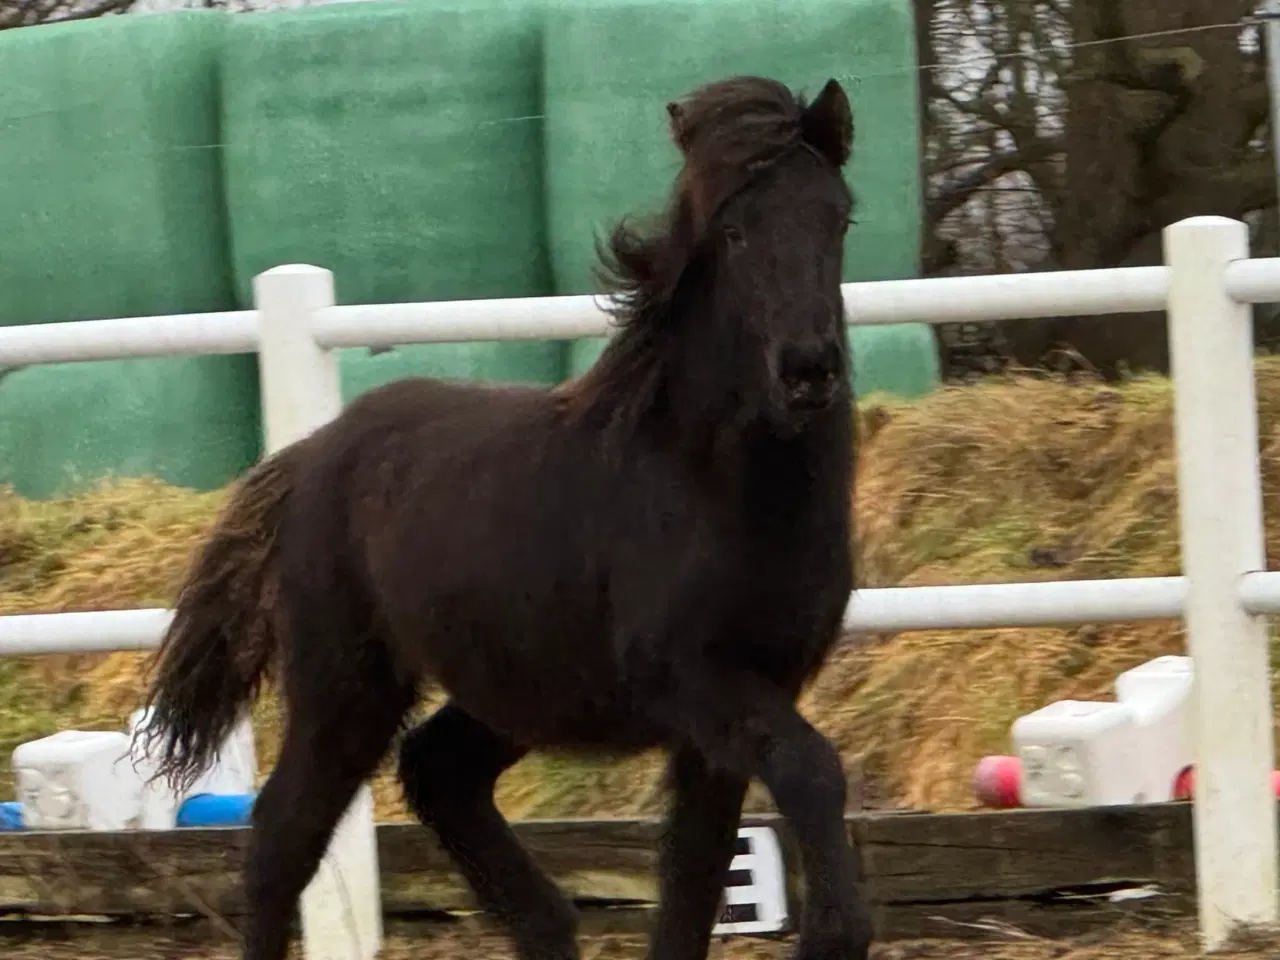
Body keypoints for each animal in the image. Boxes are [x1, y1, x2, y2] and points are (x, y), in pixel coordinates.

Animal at [142, 73, 870, 960]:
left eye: (838, 218)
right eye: (732, 230)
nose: (808, 369)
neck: (716, 487)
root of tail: (309, 455)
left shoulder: (744, 700)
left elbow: (693, 881)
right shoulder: (698, 680)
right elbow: (811, 772)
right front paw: (837, 934)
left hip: (514, 688)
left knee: (437, 771)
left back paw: (547, 923)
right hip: (346, 686)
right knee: (284, 839)